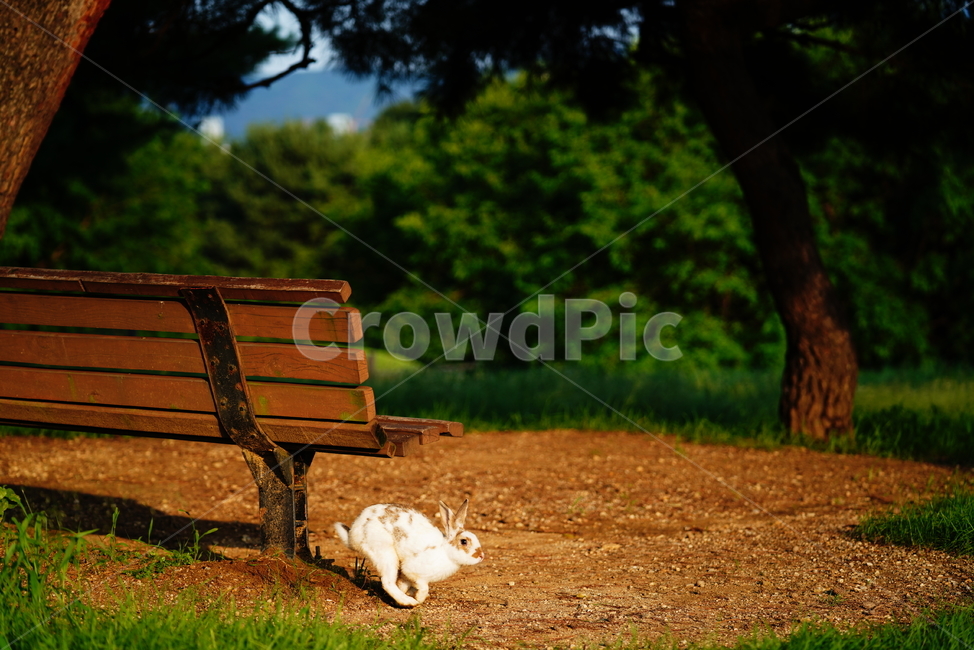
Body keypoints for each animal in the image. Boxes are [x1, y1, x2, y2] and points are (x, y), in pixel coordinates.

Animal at [333, 499, 485, 607]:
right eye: (464, 542)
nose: (481, 556)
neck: (445, 551)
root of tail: (353, 536)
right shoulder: (413, 571)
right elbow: (423, 587)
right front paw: (418, 598)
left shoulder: (406, 575)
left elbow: (403, 583)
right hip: (385, 553)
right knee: (387, 581)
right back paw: (408, 602)